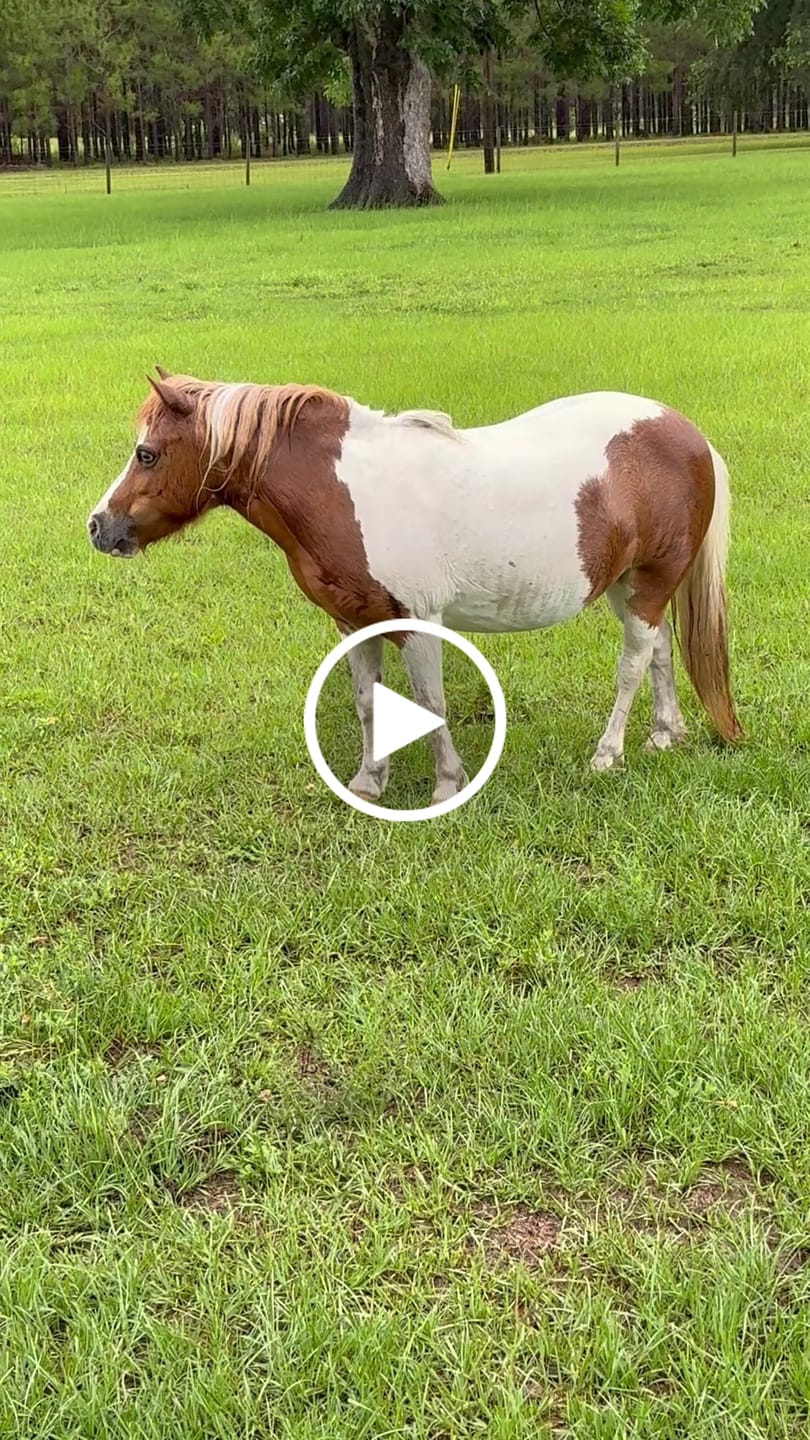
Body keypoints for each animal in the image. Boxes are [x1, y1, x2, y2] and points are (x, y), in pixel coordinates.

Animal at [88, 370, 742, 805]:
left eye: (146, 454)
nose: (99, 526)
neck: (343, 490)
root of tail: (684, 431)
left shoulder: (417, 621)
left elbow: (429, 704)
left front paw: (447, 786)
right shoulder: (355, 621)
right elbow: (368, 701)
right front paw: (367, 782)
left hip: (650, 582)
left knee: (632, 664)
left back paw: (608, 755)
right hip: (632, 585)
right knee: (658, 651)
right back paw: (665, 735)